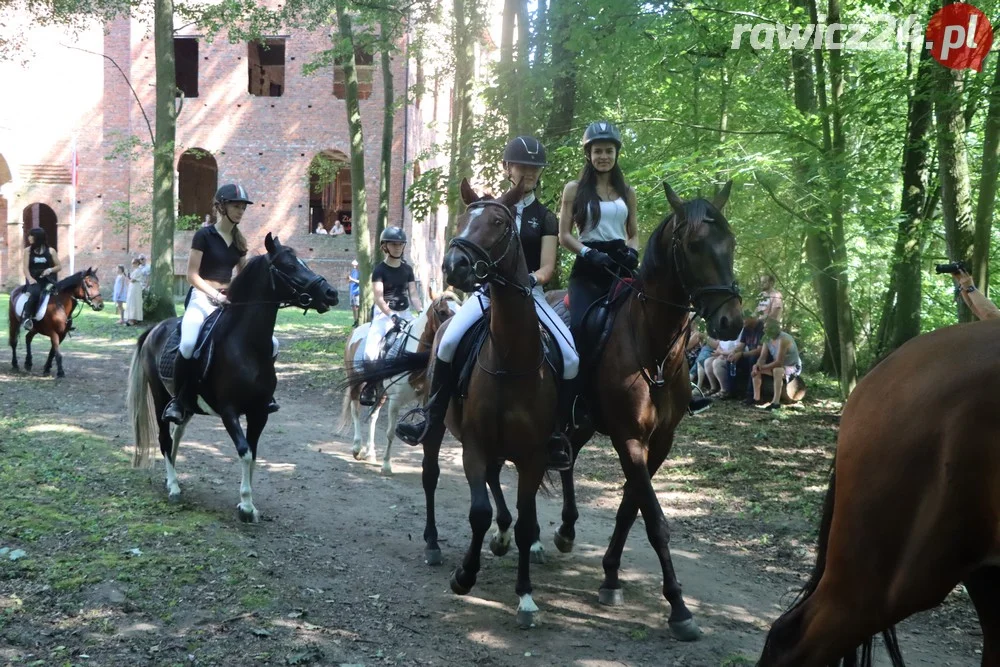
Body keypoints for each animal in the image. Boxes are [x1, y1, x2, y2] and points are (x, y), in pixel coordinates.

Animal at [127, 234, 338, 520]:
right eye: (289, 265)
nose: (331, 293)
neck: (246, 347)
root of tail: (154, 329)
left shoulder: (259, 412)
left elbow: (254, 453)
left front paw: (247, 501)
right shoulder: (229, 411)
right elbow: (245, 452)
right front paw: (246, 506)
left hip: (188, 405)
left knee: (177, 435)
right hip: (160, 397)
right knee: (165, 438)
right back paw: (173, 486)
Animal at [338, 292, 458, 474]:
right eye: (442, 311)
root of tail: (356, 331)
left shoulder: (425, 398)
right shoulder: (395, 401)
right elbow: (390, 432)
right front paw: (387, 465)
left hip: (380, 391)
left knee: (372, 416)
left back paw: (370, 452)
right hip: (355, 383)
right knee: (356, 412)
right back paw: (357, 448)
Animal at [544, 183, 748, 640]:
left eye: (731, 242)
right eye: (693, 245)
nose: (730, 322)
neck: (653, 348)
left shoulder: (660, 442)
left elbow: (629, 507)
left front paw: (611, 576)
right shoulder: (629, 438)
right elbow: (654, 520)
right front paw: (678, 607)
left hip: (584, 423)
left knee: (568, 461)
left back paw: (567, 529)